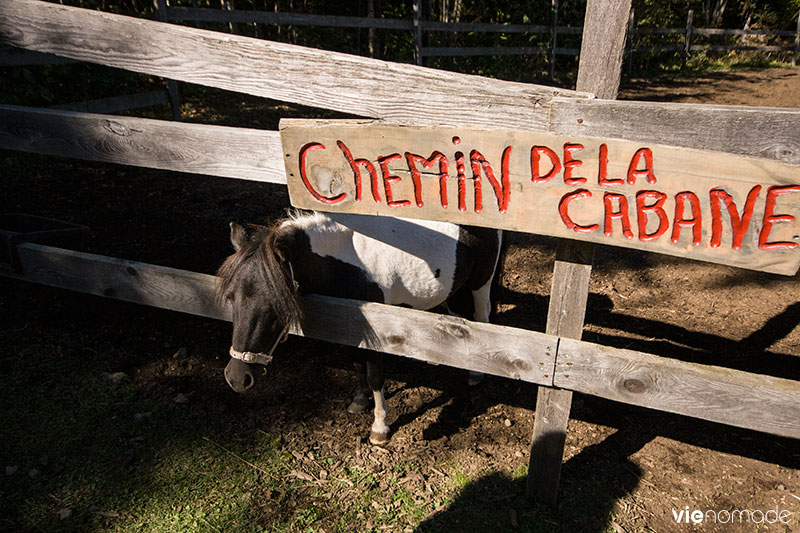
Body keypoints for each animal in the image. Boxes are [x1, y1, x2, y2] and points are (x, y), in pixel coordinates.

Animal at [214, 210, 500, 442]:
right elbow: (356, 362)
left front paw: (380, 428)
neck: (348, 263)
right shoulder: (350, 321)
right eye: (230, 296)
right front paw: (360, 401)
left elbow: (375, 376)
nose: (237, 378)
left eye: (277, 304)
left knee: (482, 318)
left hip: (481, 281)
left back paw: (475, 375)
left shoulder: (378, 329)